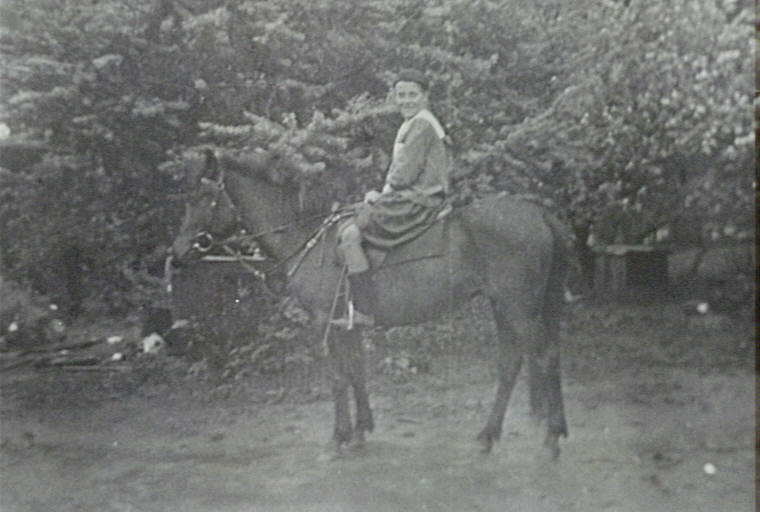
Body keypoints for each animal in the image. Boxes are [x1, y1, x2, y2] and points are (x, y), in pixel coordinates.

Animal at [170, 149, 573, 459]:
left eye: (197, 198)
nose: (176, 254)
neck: (308, 237)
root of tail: (537, 212)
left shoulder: (323, 321)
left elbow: (337, 377)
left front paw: (339, 438)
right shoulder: (346, 323)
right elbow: (356, 371)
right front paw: (361, 430)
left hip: (518, 308)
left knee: (546, 356)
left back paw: (552, 437)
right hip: (505, 307)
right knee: (511, 363)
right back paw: (489, 436)